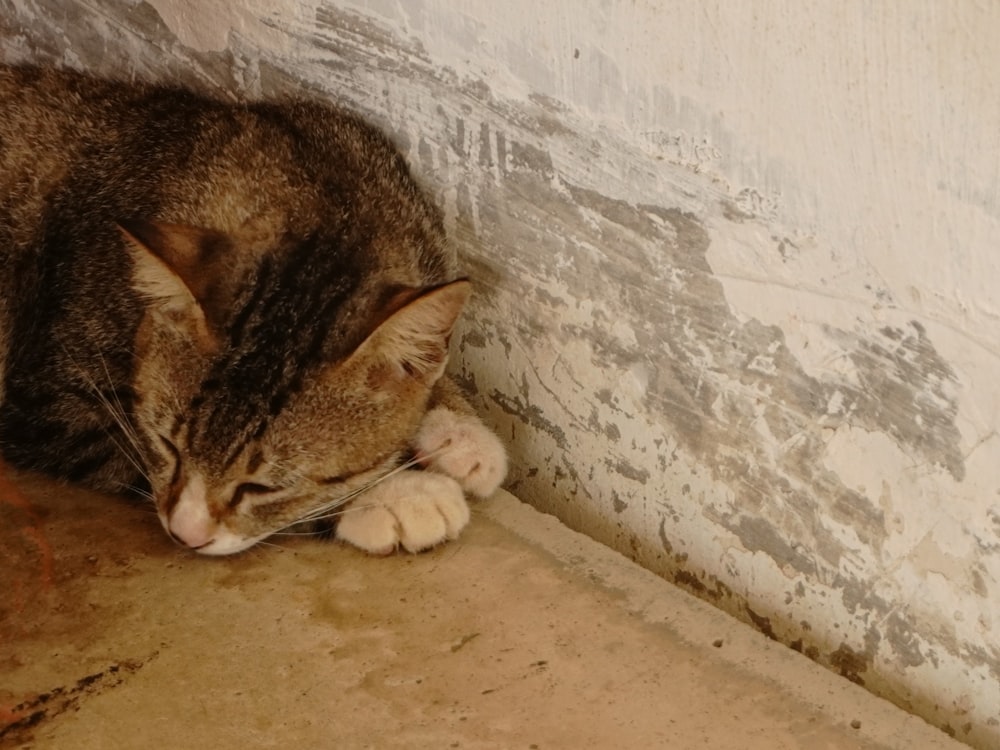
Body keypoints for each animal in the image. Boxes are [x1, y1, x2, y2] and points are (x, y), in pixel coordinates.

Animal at [0, 64, 508, 560]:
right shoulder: (49, 405)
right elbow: (123, 449)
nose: (186, 535)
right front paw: (395, 495)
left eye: (264, 486)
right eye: (165, 445)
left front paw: (459, 430)